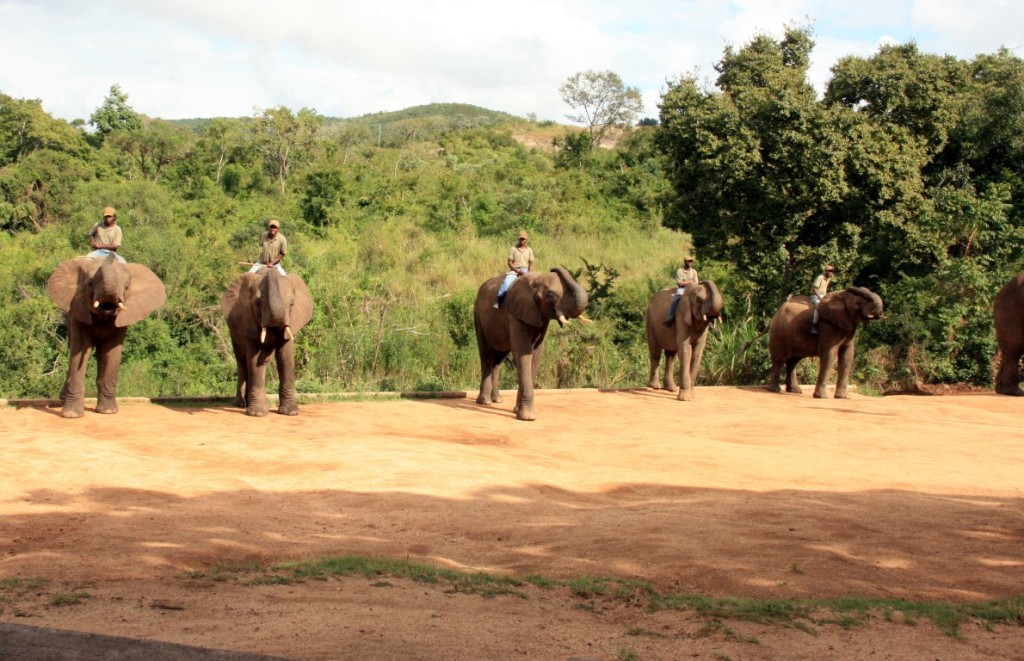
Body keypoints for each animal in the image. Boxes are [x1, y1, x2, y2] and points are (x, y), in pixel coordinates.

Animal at [46, 254, 164, 419]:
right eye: (90, 284)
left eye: (126, 288)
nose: (111, 252)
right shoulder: (78, 310)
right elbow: (80, 350)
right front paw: (71, 415)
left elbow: (111, 351)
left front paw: (108, 412)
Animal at [225, 266, 313, 417]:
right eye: (258, 303)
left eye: (292, 304)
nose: (270, 265)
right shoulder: (248, 321)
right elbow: (254, 359)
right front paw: (258, 414)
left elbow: (285, 358)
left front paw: (291, 412)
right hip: (234, 332)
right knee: (242, 362)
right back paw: (240, 404)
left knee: (261, 362)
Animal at [468, 266, 585, 421]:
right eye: (550, 295)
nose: (553, 268)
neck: (536, 280)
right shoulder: (516, 314)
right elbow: (523, 352)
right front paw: (527, 417)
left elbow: (536, 355)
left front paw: (517, 411)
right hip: (479, 317)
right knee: (486, 355)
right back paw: (485, 402)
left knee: (498, 359)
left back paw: (497, 400)